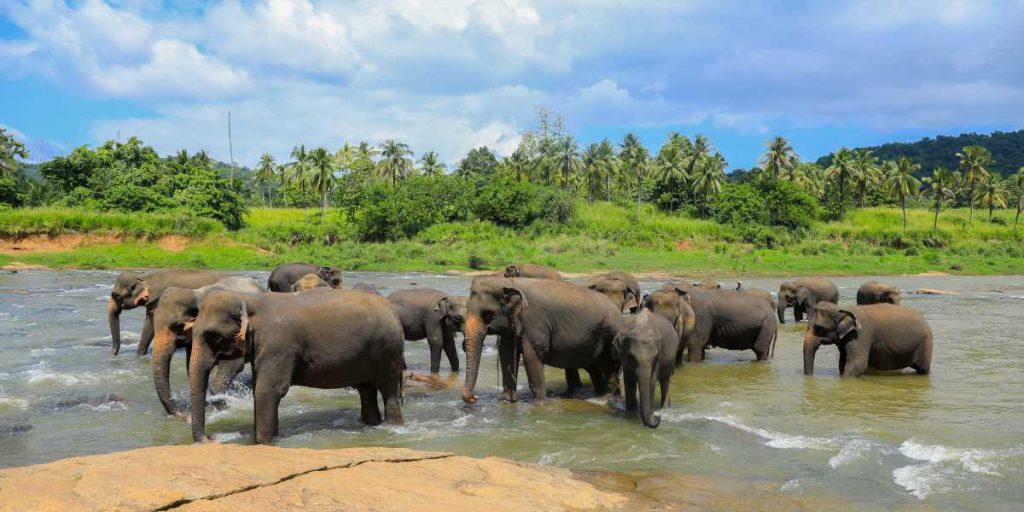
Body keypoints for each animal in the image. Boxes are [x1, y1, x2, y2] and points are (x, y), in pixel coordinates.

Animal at [150, 277, 265, 419]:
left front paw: (222, 408)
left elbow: (235, 365)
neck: (196, 294)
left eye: (176, 325)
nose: (185, 416)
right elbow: (192, 368)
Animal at [189, 288, 404, 443]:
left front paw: (262, 442)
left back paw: (393, 426)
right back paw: (373, 426)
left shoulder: (279, 346)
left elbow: (268, 390)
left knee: (389, 391)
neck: (249, 299)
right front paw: (275, 437)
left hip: (389, 352)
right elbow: (262, 389)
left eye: (214, 336)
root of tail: (392, 310)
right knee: (366, 391)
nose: (211, 439)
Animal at [461, 277, 624, 404]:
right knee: (594, 369)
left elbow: (532, 357)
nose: (474, 397)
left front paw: (539, 403)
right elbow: (505, 354)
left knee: (610, 367)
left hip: (610, 335)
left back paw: (607, 398)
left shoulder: (534, 321)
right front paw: (506, 400)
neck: (510, 282)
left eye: (487, 314)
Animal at [803, 303, 932, 377]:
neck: (844, 309)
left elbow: (857, 365)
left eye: (819, 328)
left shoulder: (861, 334)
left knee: (923, 369)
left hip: (925, 343)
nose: (810, 378)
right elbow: (842, 363)